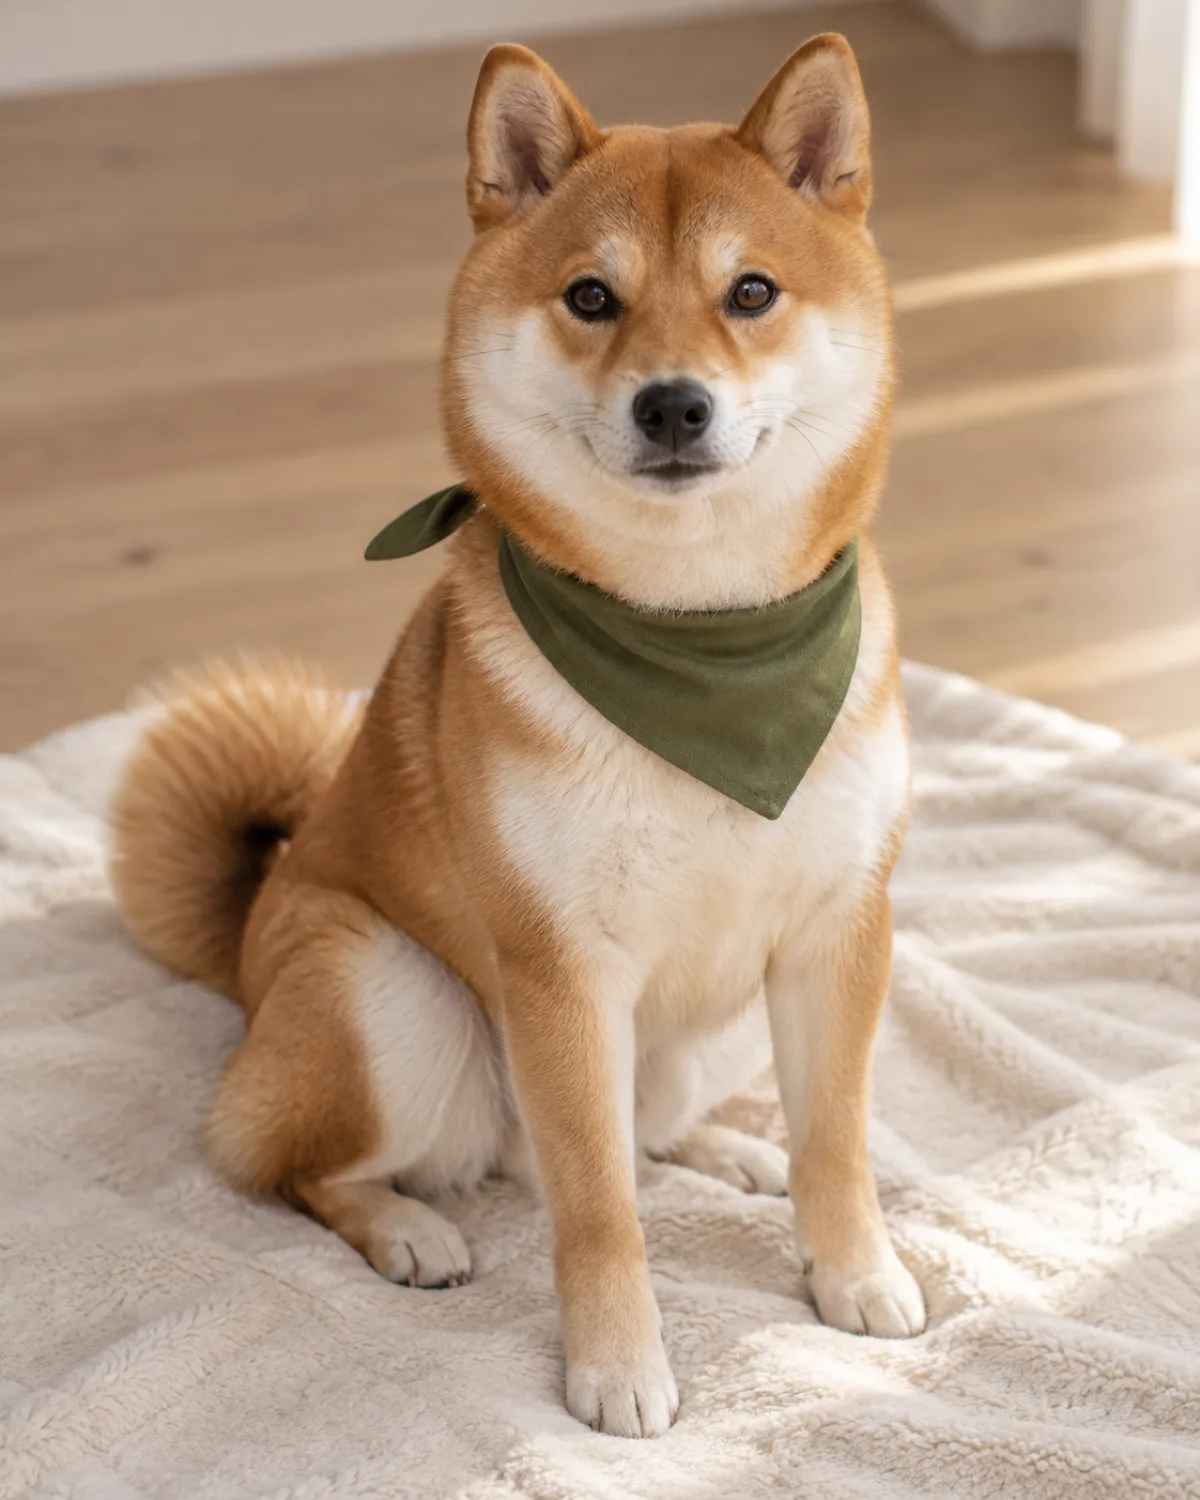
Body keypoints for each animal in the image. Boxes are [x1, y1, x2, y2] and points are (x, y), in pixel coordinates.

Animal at [110, 34, 926, 1438]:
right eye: (591, 298)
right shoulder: (561, 973)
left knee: (652, 1126)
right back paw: (404, 1228)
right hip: (396, 995)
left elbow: (838, 1139)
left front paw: (852, 1270)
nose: (672, 406)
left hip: (703, 1024)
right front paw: (617, 1368)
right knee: (284, 1166)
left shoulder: (838, 929)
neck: (699, 644)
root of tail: (251, 953)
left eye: (752, 292)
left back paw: (728, 1148)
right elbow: (596, 1205)